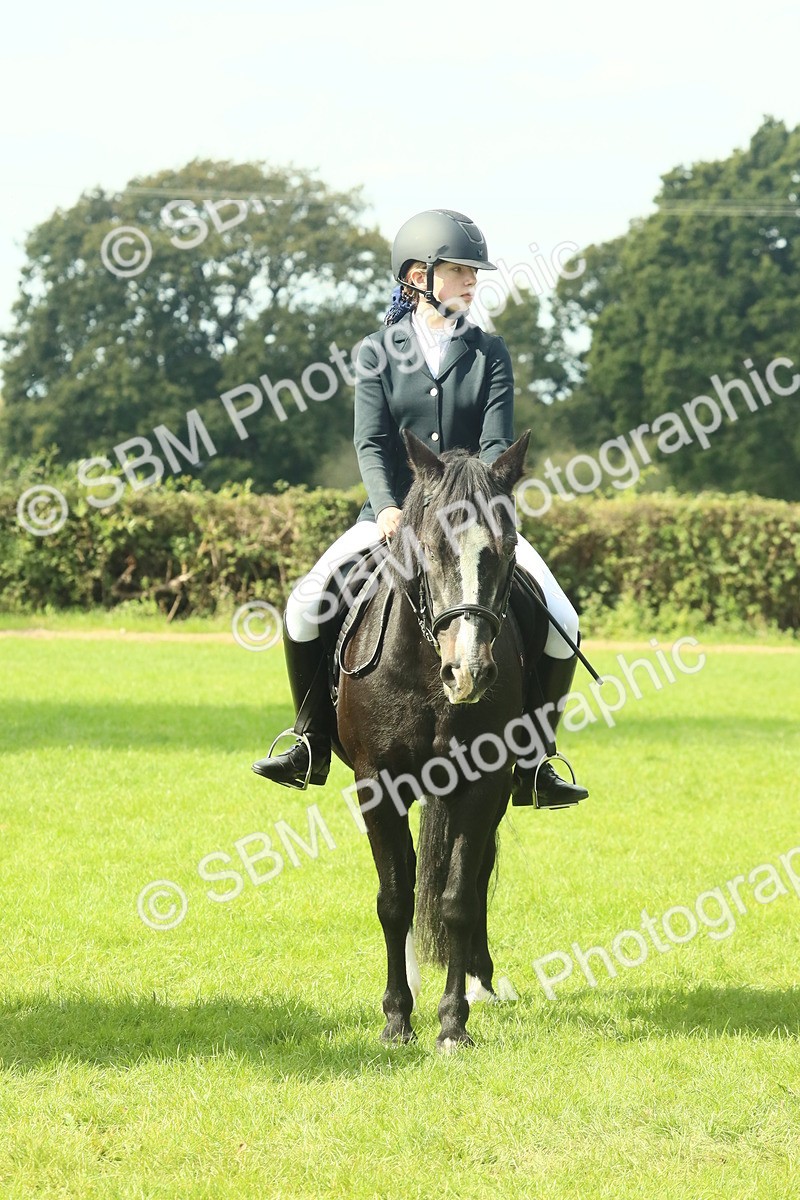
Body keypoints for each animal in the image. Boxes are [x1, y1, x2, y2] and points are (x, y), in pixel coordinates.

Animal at [335, 428, 547, 1050]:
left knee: (473, 876)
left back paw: (481, 982)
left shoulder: (483, 783)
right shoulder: (377, 784)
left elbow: (456, 899)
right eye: (429, 547)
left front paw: (453, 1022)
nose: (468, 673)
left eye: (507, 547)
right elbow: (394, 897)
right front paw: (396, 1018)